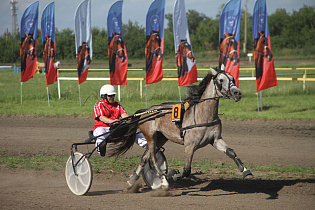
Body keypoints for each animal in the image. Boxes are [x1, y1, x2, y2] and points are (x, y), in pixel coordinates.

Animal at [107, 67, 253, 190]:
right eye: (221, 80)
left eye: (232, 78)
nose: (237, 93)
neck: (202, 115)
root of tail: (146, 111)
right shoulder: (189, 146)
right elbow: (186, 170)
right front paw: (174, 175)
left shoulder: (216, 140)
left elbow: (231, 152)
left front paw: (245, 170)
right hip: (151, 136)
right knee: (153, 158)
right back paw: (163, 181)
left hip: (161, 138)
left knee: (145, 157)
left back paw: (131, 181)